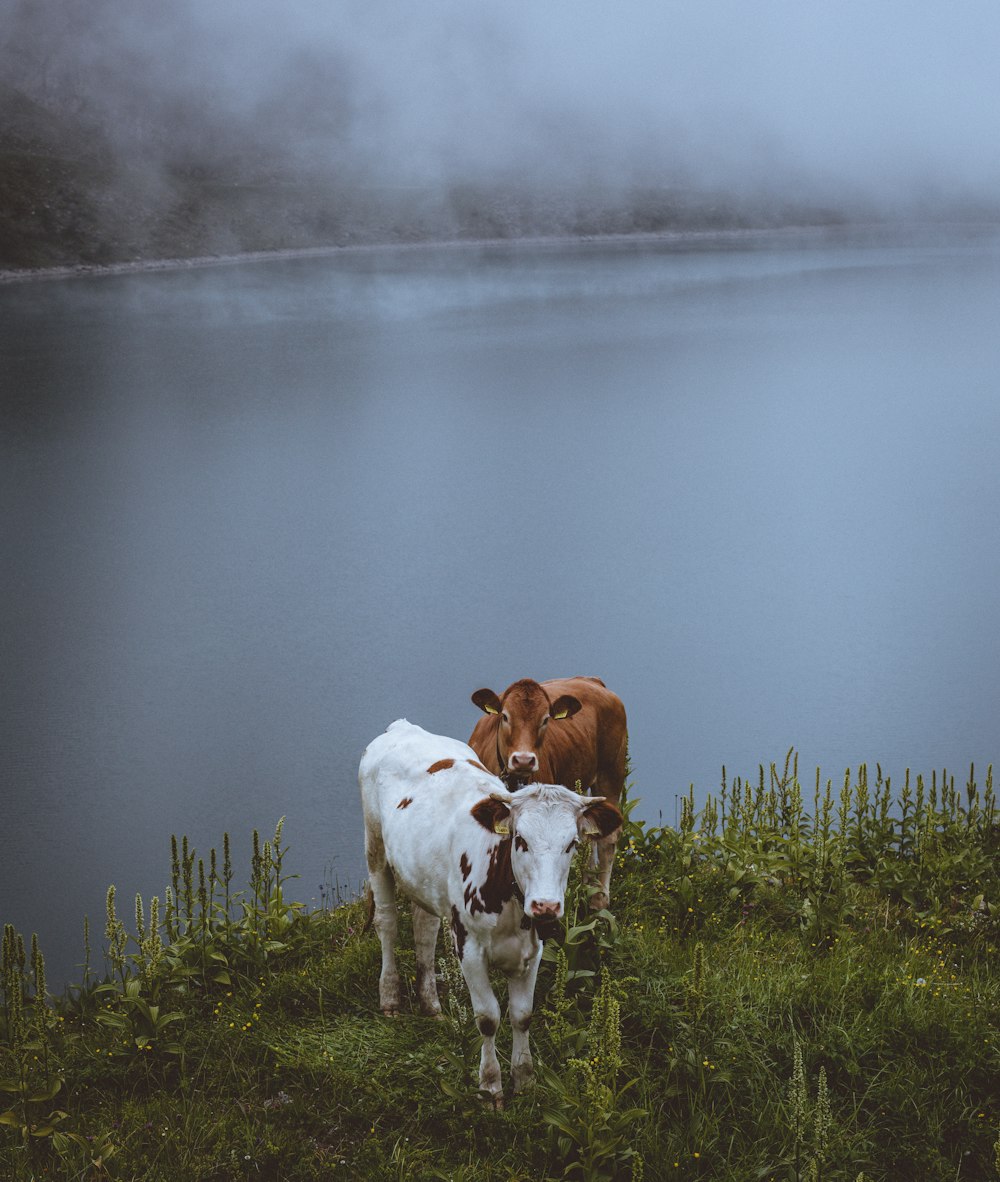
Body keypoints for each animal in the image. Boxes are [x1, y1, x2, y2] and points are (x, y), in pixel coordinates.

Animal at [359, 718, 624, 1106]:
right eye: (520, 840)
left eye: (572, 844)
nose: (546, 905)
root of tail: (404, 726)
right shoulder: (468, 948)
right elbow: (488, 1018)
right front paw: (490, 1086)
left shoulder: (533, 951)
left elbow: (522, 1016)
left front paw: (524, 1079)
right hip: (375, 846)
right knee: (388, 923)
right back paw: (390, 997)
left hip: (423, 877)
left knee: (425, 929)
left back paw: (431, 1004)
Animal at [470, 676, 624, 912]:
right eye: (505, 716)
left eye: (545, 720)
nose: (524, 760)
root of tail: (592, 681)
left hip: (612, 773)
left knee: (608, 838)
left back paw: (599, 899)